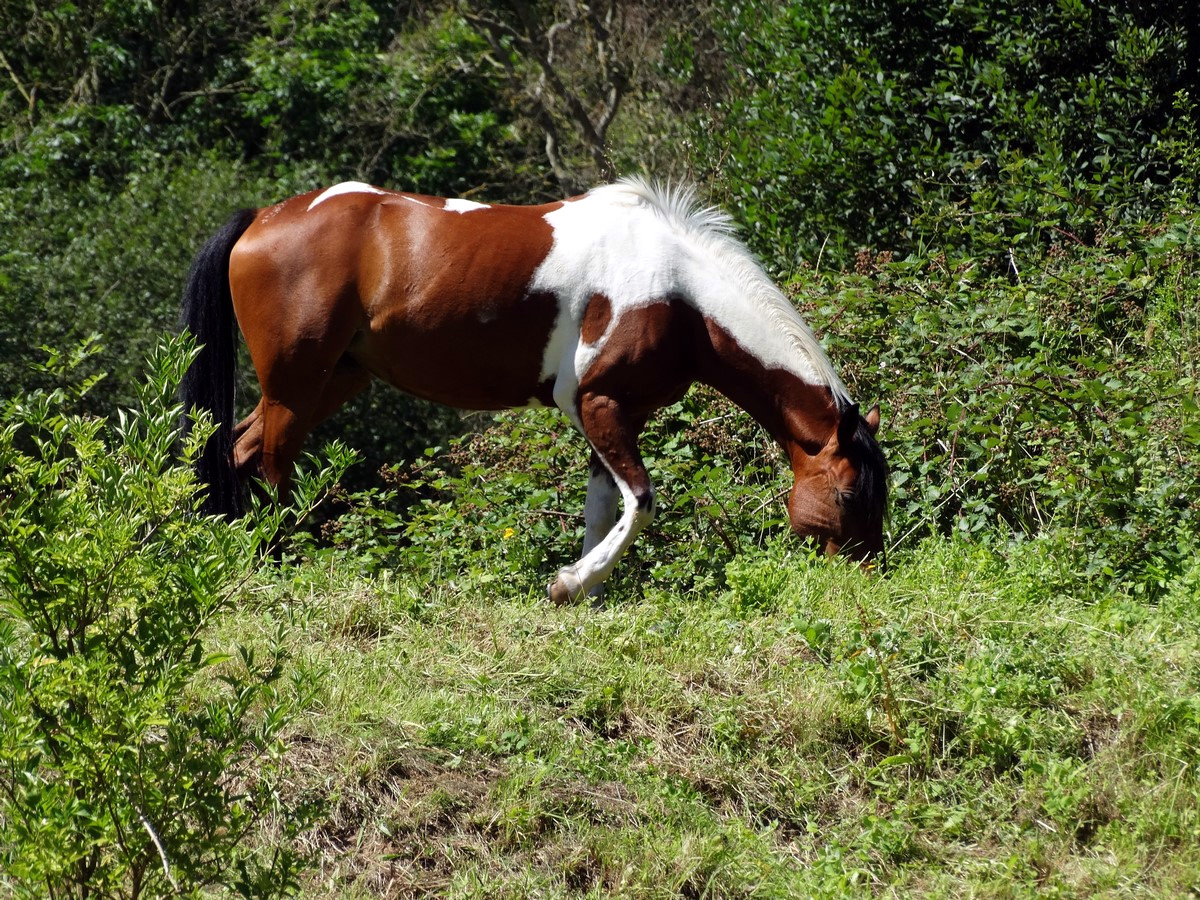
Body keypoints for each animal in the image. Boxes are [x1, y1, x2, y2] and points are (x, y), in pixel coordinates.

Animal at [180, 174, 892, 607]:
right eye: (849, 494)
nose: (866, 576)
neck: (677, 291)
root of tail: (263, 218)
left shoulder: (615, 414)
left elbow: (605, 507)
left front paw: (585, 591)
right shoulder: (597, 405)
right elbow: (642, 501)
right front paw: (571, 584)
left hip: (334, 379)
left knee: (242, 452)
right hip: (295, 384)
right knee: (274, 465)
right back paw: (278, 566)